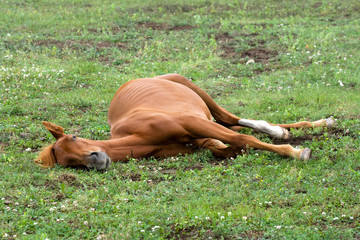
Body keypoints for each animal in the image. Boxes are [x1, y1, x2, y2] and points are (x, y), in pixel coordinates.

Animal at [35, 74, 334, 170]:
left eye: (74, 137)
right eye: (68, 163)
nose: (97, 159)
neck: (141, 136)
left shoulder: (193, 123)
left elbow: (242, 138)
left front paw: (297, 153)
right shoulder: (199, 139)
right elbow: (227, 147)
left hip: (189, 86)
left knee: (230, 119)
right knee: (233, 124)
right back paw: (296, 128)